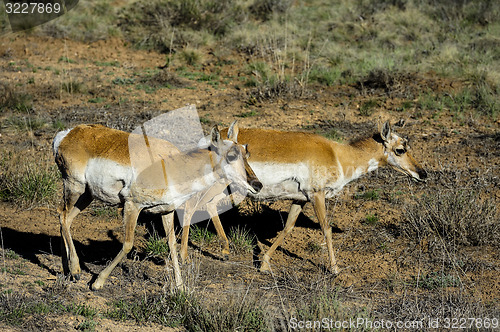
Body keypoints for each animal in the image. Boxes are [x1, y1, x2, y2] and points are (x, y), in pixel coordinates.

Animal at [52, 121, 260, 288]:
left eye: (246, 151)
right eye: (231, 155)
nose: (257, 185)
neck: (174, 165)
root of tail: (68, 133)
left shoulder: (166, 212)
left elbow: (172, 245)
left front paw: (180, 287)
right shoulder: (132, 205)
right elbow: (128, 244)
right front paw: (98, 282)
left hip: (87, 195)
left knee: (64, 218)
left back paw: (67, 269)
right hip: (75, 187)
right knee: (63, 216)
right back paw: (75, 269)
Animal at [180, 120, 426, 274]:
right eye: (400, 150)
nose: (422, 174)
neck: (338, 155)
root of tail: (211, 138)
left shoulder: (300, 200)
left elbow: (288, 227)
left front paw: (264, 264)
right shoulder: (317, 196)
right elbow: (326, 228)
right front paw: (335, 269)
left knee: (209, 206)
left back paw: (224, 251)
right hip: (220, 185)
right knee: (192, 206)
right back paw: (183, 257)